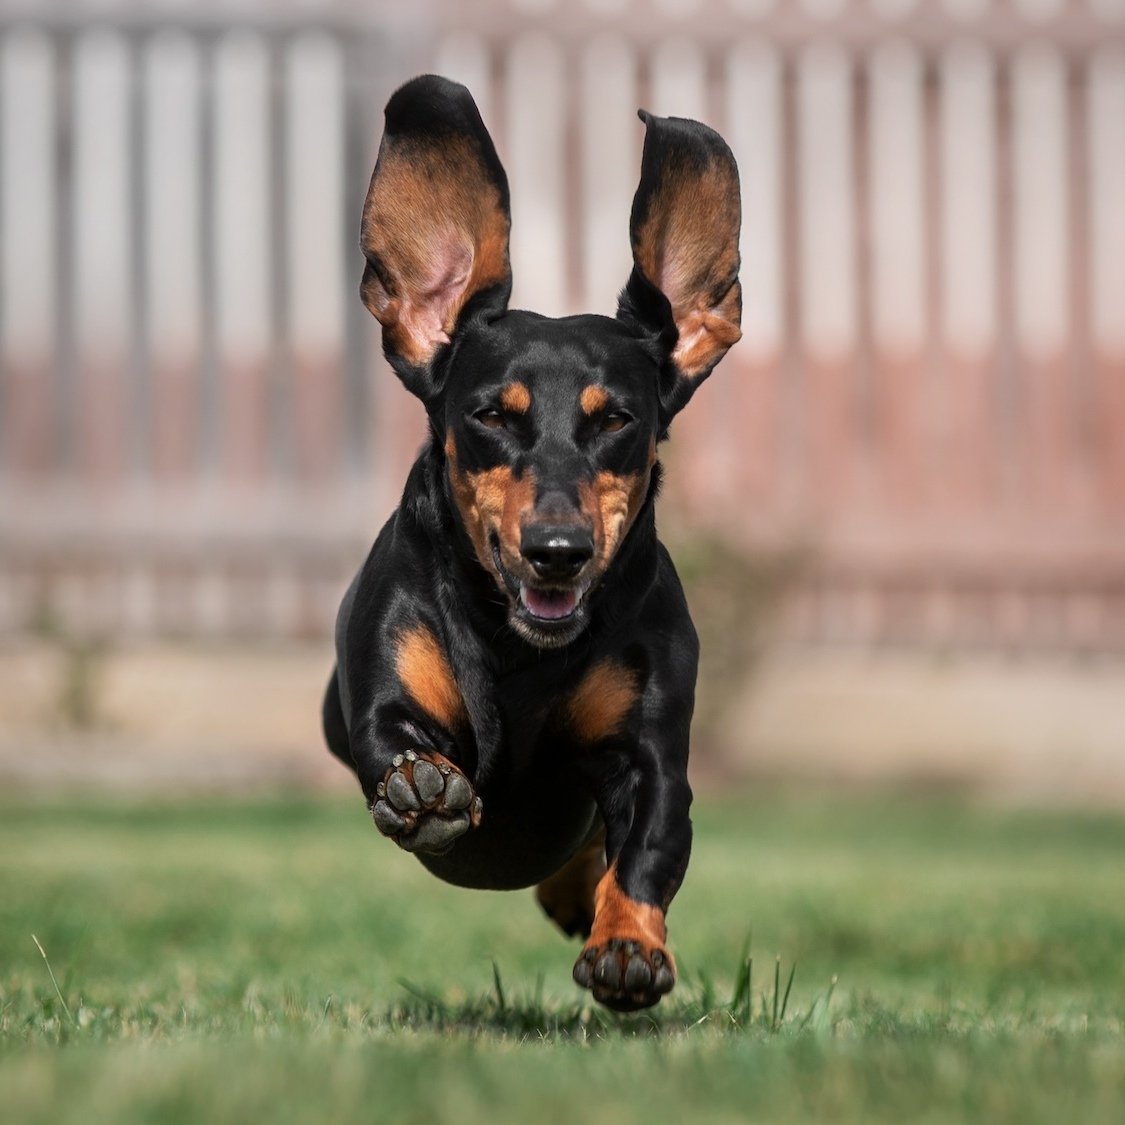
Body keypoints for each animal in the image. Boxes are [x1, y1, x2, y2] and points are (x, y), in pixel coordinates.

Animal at [321, 77, 742, 1012]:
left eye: (616, 418)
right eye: (491, 414)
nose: (557, 549)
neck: (520, 653)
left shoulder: (648, 754)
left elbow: (649, 844)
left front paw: (627, 945)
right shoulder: (379, 690)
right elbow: (389, 737)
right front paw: (420, 787)